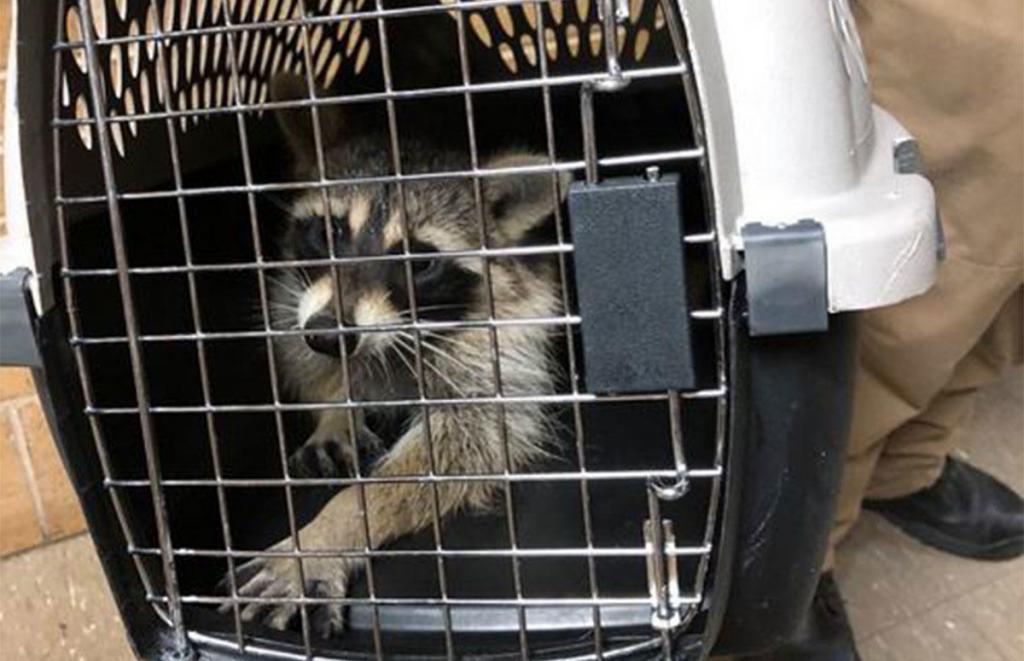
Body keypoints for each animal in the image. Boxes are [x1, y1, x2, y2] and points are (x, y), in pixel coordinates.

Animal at [222, 74, 569, 636]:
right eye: (329, 231)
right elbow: (298, 349)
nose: (330, 335)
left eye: (418, 260)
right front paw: (335, 407)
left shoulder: (506, 336)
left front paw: (331, 531)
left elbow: (469, 441)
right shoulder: (297, 296)